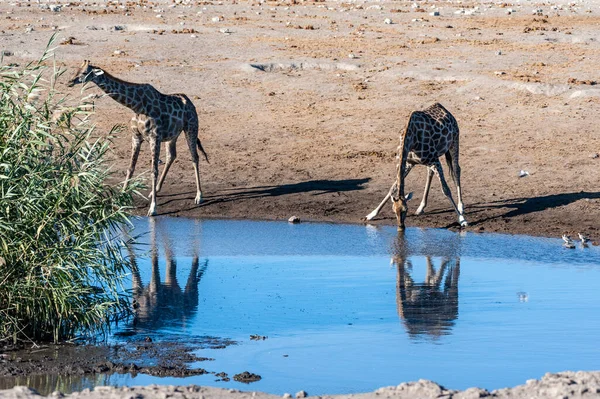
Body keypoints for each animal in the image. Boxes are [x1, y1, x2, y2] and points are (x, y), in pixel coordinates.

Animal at [67, 60, 209, 217]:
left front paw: (152, 208)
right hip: (172, 135)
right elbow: (130, 168)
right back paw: (156, 190)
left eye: (84, 72)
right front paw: (121, 196)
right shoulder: (136, 137)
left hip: (191, 128)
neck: (136, 105)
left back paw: (199, 196)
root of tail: (190, 103)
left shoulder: (154, 137)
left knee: (194, 157)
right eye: (76, 69)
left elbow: (153, 170)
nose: (70, 81)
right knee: (171, 155)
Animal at [364, 101, 466, 230]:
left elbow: (446, 190)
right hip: (431, 160)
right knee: (430, 173)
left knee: (457, 169)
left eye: (406, 210)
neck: (411, 139)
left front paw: (462, 220)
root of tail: (444, 109)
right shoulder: (409, 163)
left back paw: (461, 206)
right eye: (394, 211)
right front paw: (372, 214)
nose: (401, 227)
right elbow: (393, 187)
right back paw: (421, 207)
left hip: (454, 142)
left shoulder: (434, 160)